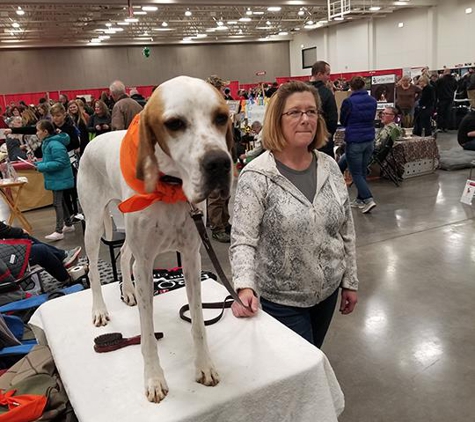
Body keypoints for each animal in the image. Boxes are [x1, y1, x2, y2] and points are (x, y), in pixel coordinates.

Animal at [77, 76, 233, 402]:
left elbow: (198, 321)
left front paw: (204, 365)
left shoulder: (191, 258)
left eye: (221, 117)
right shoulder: (147, 264)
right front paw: (153, 379)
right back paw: (99, 309)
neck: (171, 187)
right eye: (174, 123)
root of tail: (93, 140)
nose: (219, 163)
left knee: (125, 254)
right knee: (94, 269)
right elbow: (147, 335)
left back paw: (127, 291)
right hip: (94, 224)